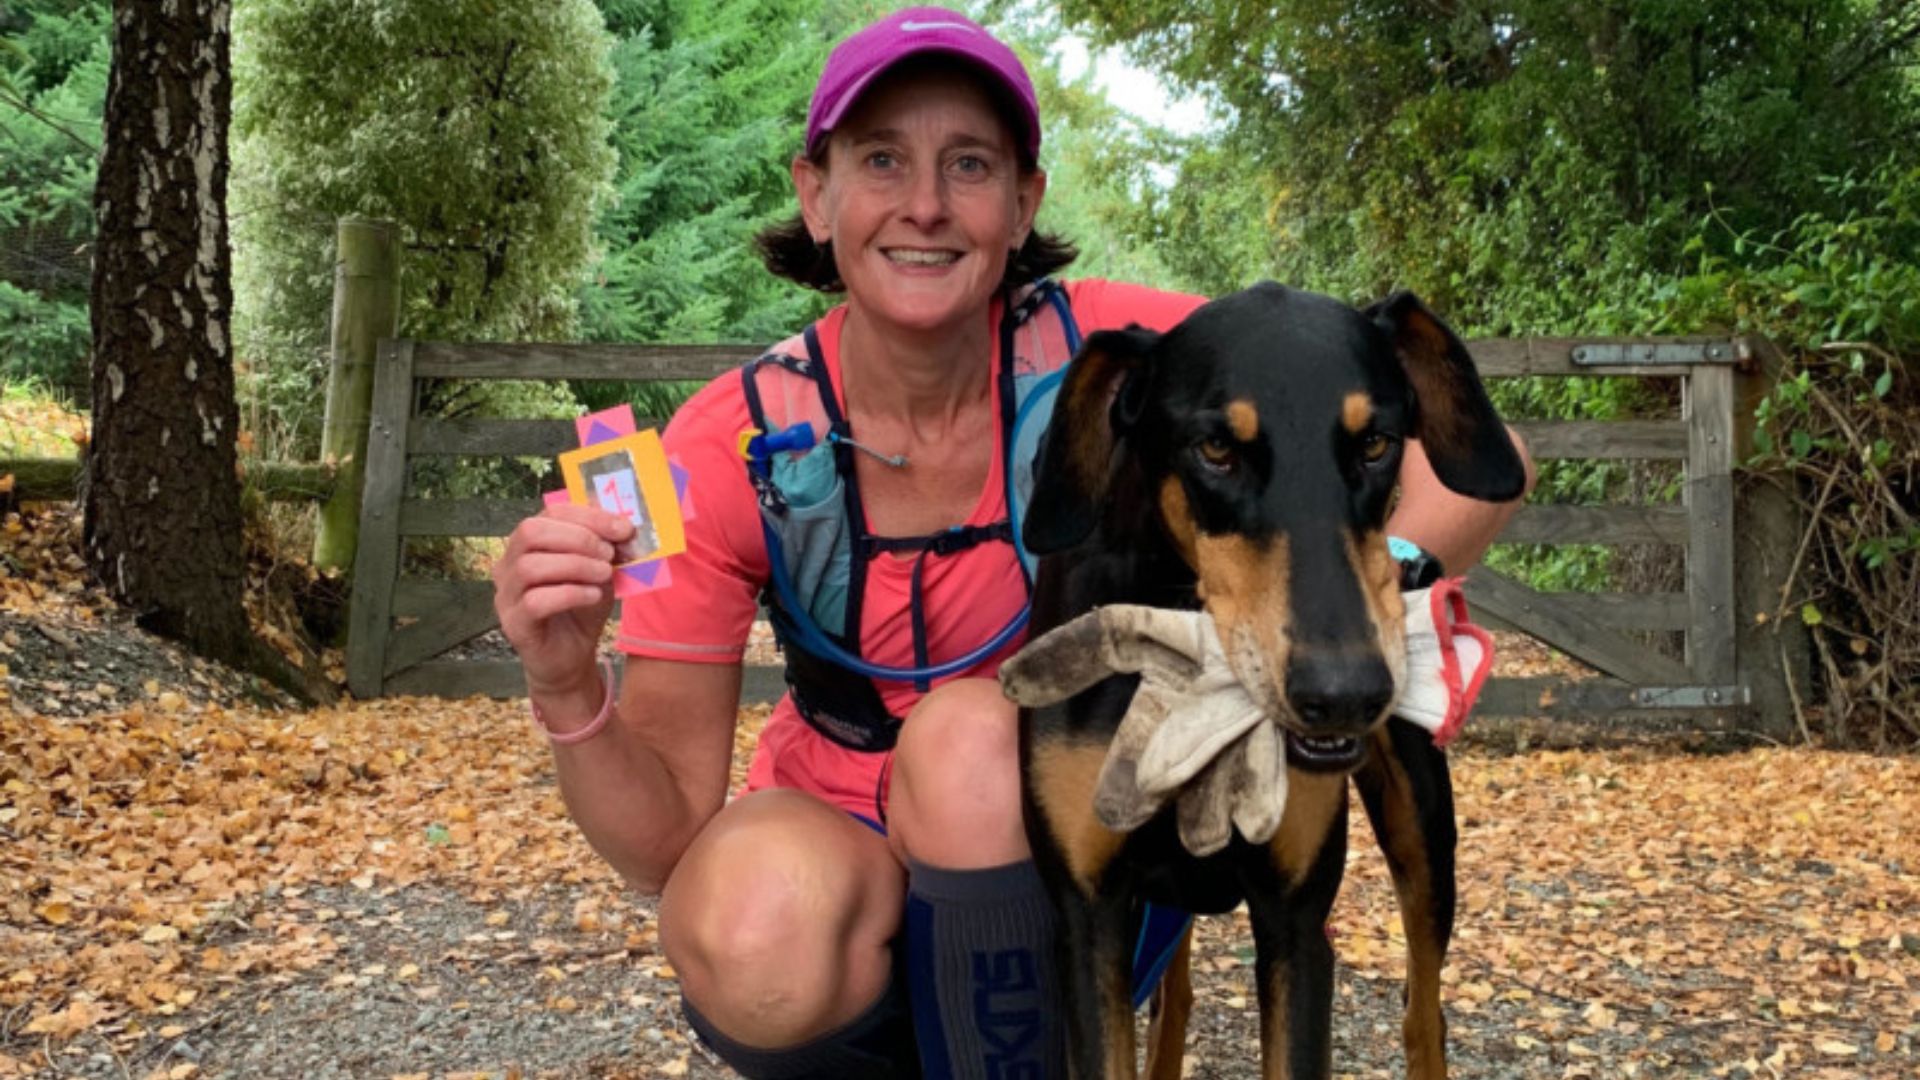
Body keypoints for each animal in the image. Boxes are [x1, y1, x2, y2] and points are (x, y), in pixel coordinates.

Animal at [1013, 284, 1520, 1076]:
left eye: (1376, 443)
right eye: (1216, 449)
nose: (1344, 695)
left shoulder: (1296, 919)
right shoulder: (1086, 909)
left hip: (1424, 835)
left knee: (1423, 1012)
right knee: (1176, 997)